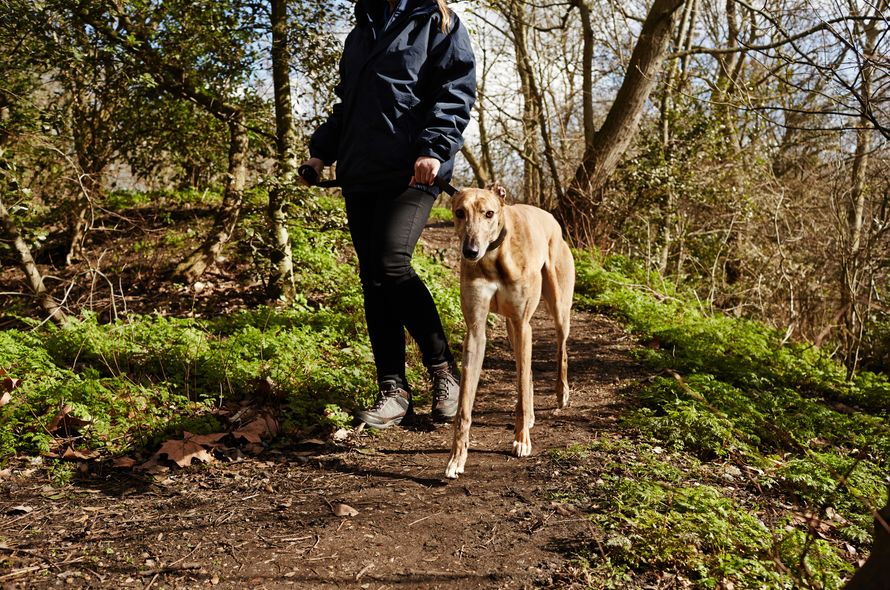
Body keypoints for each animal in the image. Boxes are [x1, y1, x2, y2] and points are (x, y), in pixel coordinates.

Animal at [444, 186, 576, 480]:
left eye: (489, 213)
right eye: (459, 212)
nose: (470, 251)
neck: (493, 257)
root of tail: (550, 218)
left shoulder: (523, 322)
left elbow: (521, 387)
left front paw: (522, 440)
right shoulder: (476, 330)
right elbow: (464, 406)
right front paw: (457, 459)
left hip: (558, 309)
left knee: (560, 350)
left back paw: (561, 393)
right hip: (512, 328)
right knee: (527, 372)